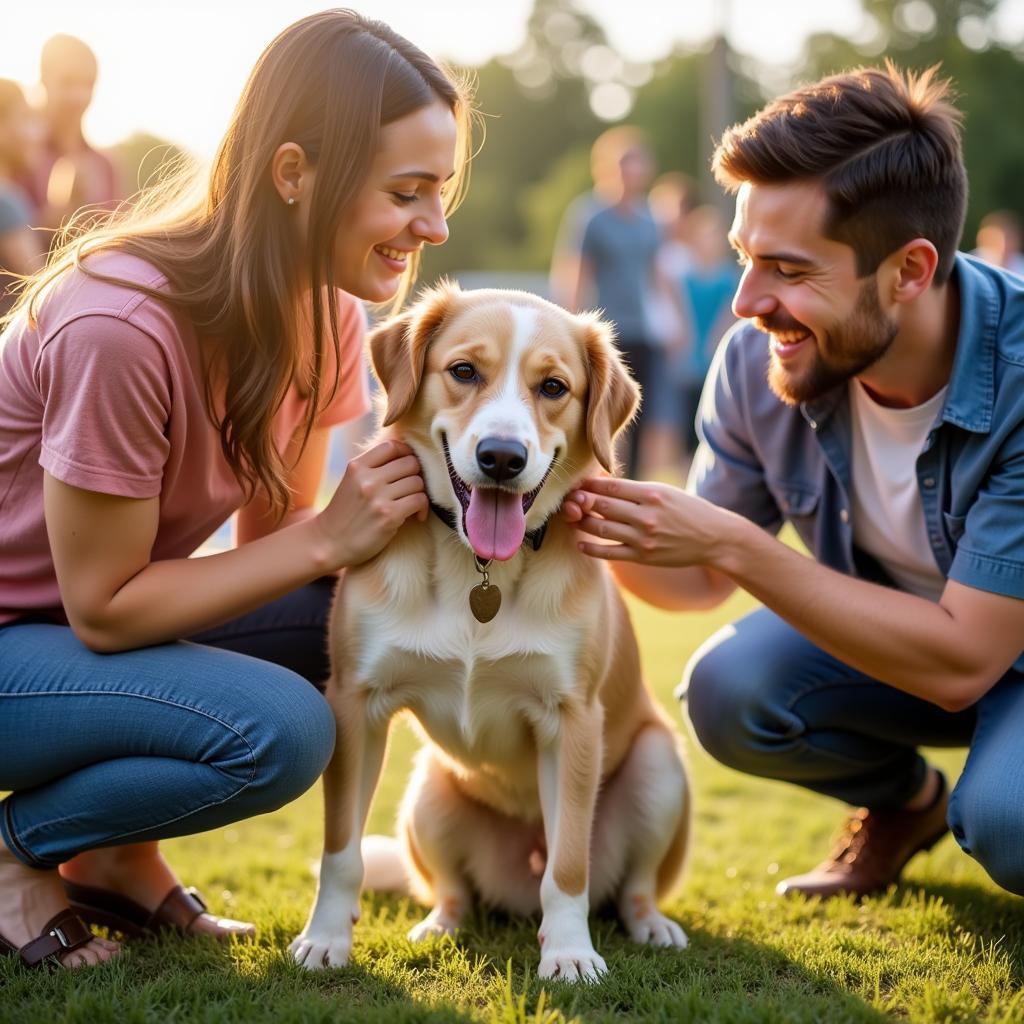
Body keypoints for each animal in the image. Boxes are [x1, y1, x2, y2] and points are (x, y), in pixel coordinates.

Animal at [292, 284, 692, 978]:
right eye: (464, 371)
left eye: (554, 386)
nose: (502, 458)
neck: (479, 568)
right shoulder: (354, 704)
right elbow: (340, 852)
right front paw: (326, 939)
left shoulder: (573, 719)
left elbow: (568, 866)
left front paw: (569, 953)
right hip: (426, 793)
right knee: (455, 893)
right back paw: (439, 925)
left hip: (660, 766)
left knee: (631, 887)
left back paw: (649, 925)